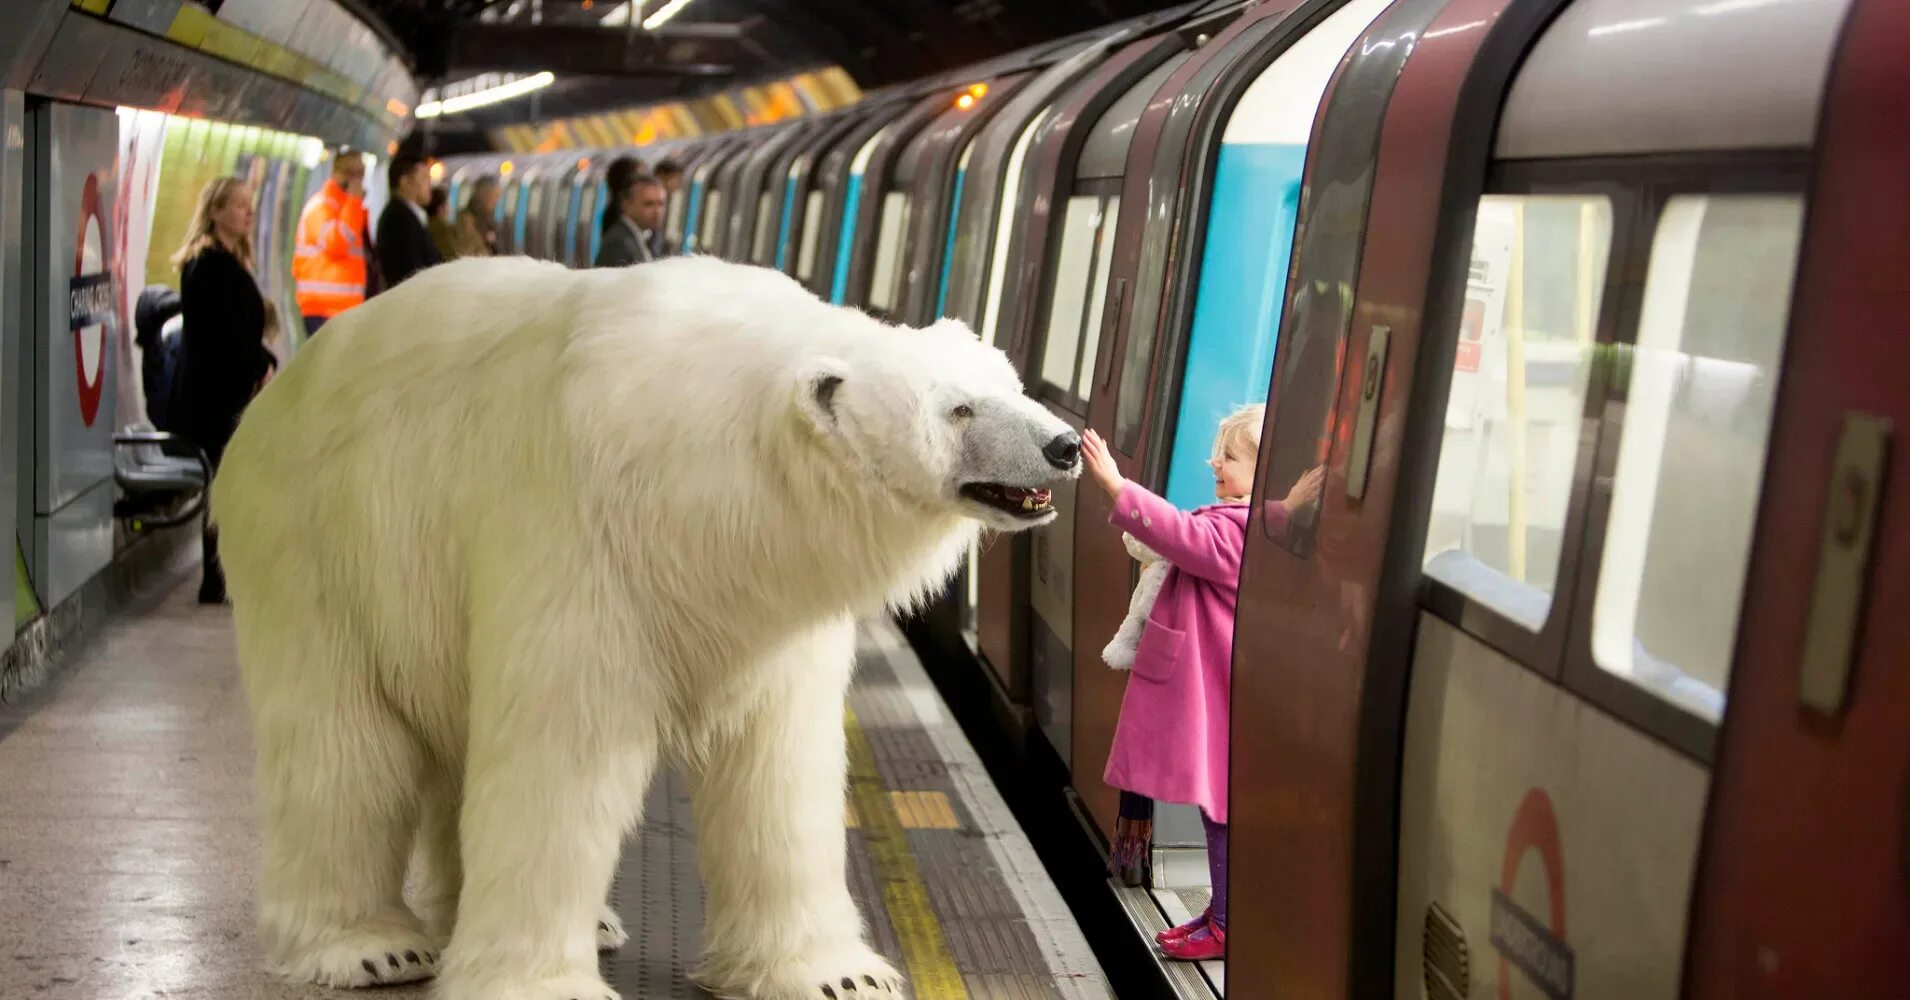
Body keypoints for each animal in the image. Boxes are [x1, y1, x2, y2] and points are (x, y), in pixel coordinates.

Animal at [212, 255, 1077, 1000]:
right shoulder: (578, 532)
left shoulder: (769, 603)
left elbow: (779, 764)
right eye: (957, 408)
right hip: (317, 548)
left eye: (1010, 382)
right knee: (343, 750)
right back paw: (371, 946)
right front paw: (542, 986)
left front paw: (838, 975)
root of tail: (270, 400)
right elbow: (560, 753)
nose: (1064, 444)